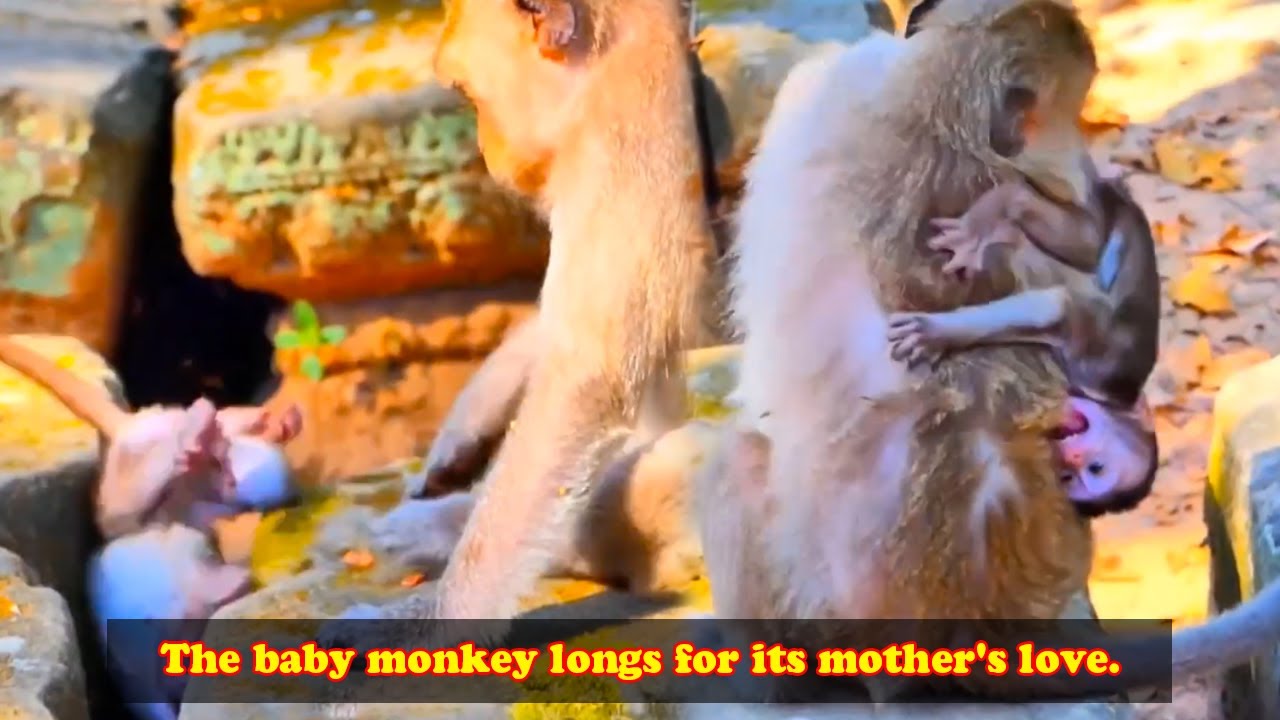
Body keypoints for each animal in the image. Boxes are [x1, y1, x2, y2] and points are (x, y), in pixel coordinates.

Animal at [699, 0, 1280, 703]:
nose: (1083, 157)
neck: (936, 105)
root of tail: (968, 636)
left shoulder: (831, 83)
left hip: (819, 612)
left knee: (737, 459)